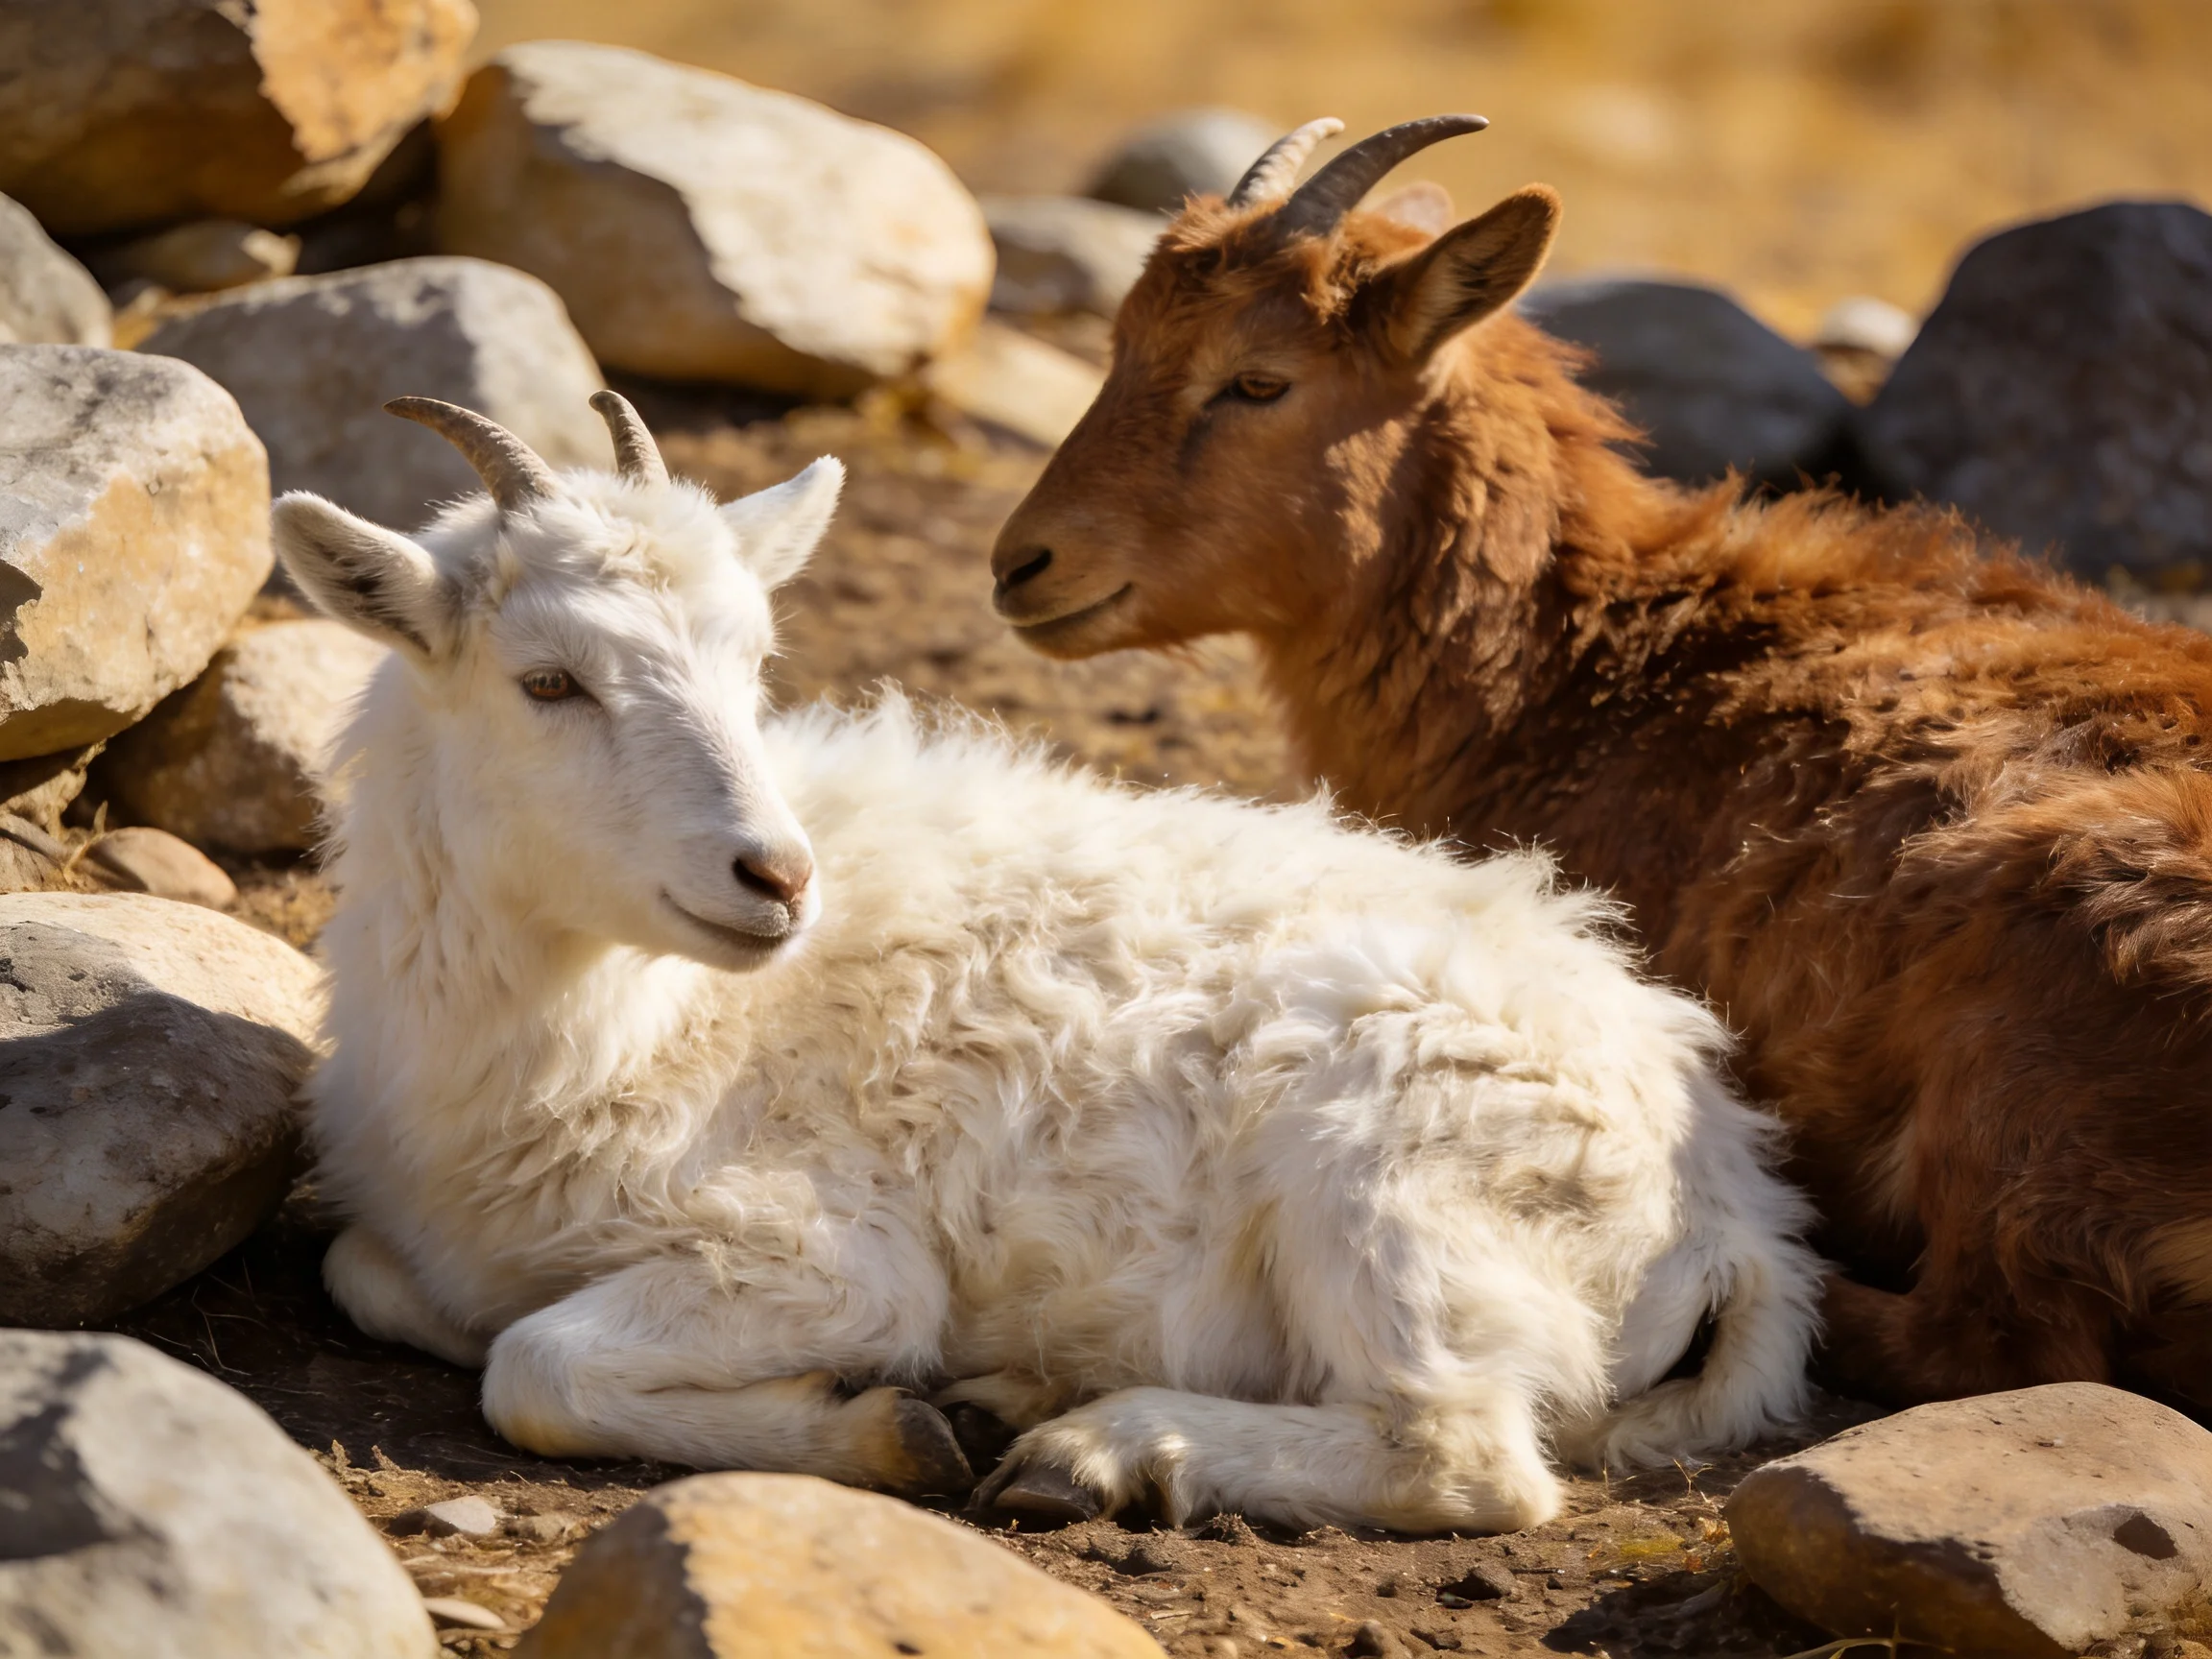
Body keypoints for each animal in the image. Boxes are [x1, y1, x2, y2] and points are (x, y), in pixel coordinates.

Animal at [274, 391, 1816, 1532]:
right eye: (547, 680)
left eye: (753, 660)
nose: (776, 878)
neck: (633, 1027)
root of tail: (1734, 1214)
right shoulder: (410, 1233)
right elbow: (369, 1274)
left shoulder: (824, 1254)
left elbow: (532, 1366)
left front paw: (888, 1428)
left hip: (1398, 1175)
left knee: (1466, 1456)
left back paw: (1099, 1451)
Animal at [991, 113, 2212, 1413]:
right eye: (1122, 345)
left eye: (1258, 378)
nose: (1024, 565)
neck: (1589, 671)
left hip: (2024, 1040)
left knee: (1995, 1339)